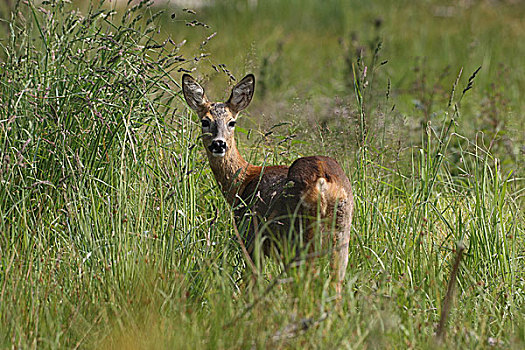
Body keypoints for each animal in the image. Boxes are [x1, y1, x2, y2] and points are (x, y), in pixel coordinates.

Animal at [182, 73, 354, 296]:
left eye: (232, 122)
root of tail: (323, 181)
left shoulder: (251, 236)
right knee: (336, 283)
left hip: (299, 235)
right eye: (205, 121)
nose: (219, 144)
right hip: (342, 233)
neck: (244, 182)